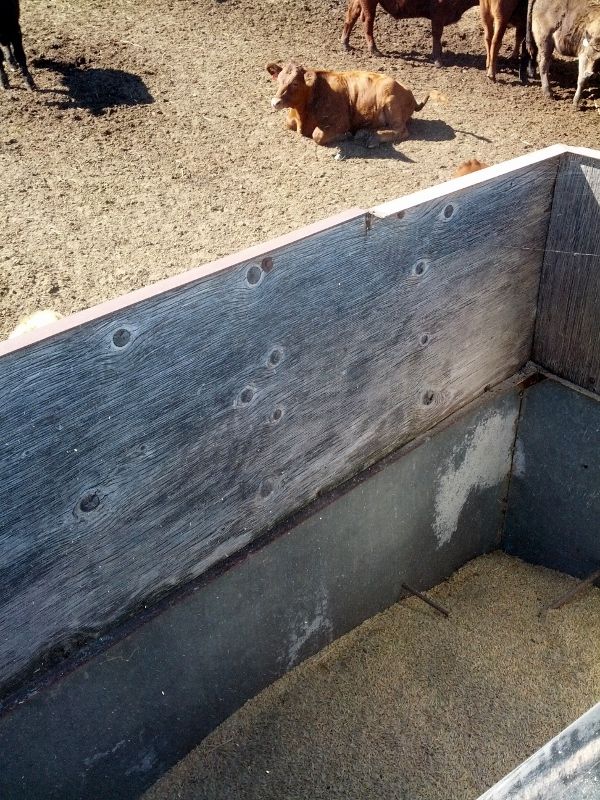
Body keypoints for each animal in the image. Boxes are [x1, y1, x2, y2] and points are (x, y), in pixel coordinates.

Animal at [267, 61, 433, 147]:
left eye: (295, 83)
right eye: (279, 80)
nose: (275, 102)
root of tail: (408, 92)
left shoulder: (341, 122)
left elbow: (317, 135)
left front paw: (345, 135)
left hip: (392, 104)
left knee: (401, 131)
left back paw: (373, 138)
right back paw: (364, 132)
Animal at [341, 0, 478, 67]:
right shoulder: (438, 14)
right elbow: (437, 35)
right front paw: (438, 60)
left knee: (352, 14)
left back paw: (345, 44)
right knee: (367, 20)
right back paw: (374, 50)